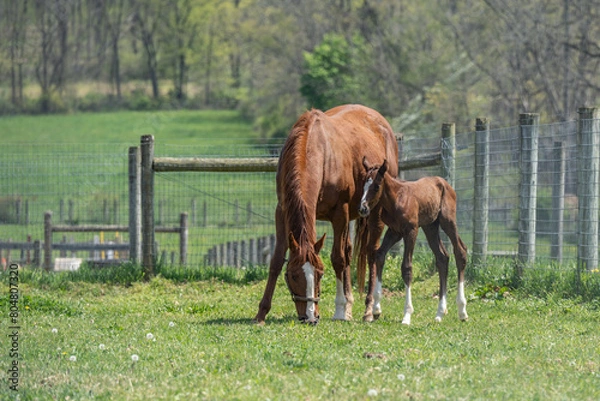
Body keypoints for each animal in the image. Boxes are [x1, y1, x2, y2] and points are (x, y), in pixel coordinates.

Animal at [253, 104, 398, 324]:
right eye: (293, 275)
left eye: (320, 274)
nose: (311, 317)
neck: (316, 150)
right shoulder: (282, 210)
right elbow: (277, 260)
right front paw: (261, 313)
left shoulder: (340, 212)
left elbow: (337, 259)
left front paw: (339, 310)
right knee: (349, 251)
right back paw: (350, 306)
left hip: (374, 214)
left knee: (373, 254)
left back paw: (370, 309)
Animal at [356, 158, 468, 324]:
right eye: (363, 185)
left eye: (376, 186)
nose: (362, 209)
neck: (396, 198)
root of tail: (444, 183)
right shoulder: (394, 231)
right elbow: (380, 256)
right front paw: (376, 309)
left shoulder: (411, 231)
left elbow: (407, 267)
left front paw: (407, 315)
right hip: (430, 226)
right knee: (442, 257)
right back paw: (440, 313)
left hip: (447, 221)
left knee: (460, 251)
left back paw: (462, 311)